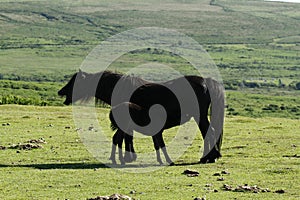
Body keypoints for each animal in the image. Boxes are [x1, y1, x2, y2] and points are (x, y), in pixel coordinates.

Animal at [57, 70, 224, 166]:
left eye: (75, 81)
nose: (60, 91)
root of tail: (206, 81)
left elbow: (127, 137)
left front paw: (128, 157)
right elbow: (128, 137)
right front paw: (129, 157)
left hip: (199, 116)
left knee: (208, 132)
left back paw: (208, 158)